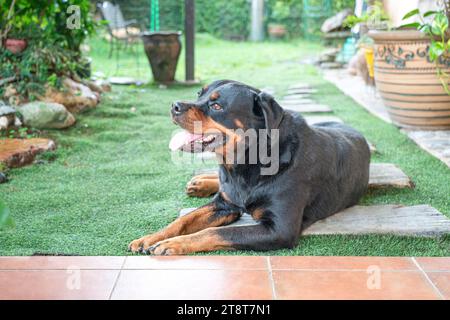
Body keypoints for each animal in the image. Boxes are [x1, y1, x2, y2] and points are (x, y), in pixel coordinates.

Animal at [128, 79, 370, 255]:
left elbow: (216, 233)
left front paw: (174, 243)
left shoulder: (279, 229)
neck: (245, 166)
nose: (175, 105)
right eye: (199, 94)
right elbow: (183, 220)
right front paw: (150, 237)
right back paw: (201, 182)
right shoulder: (224, 204)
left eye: (216, 106)